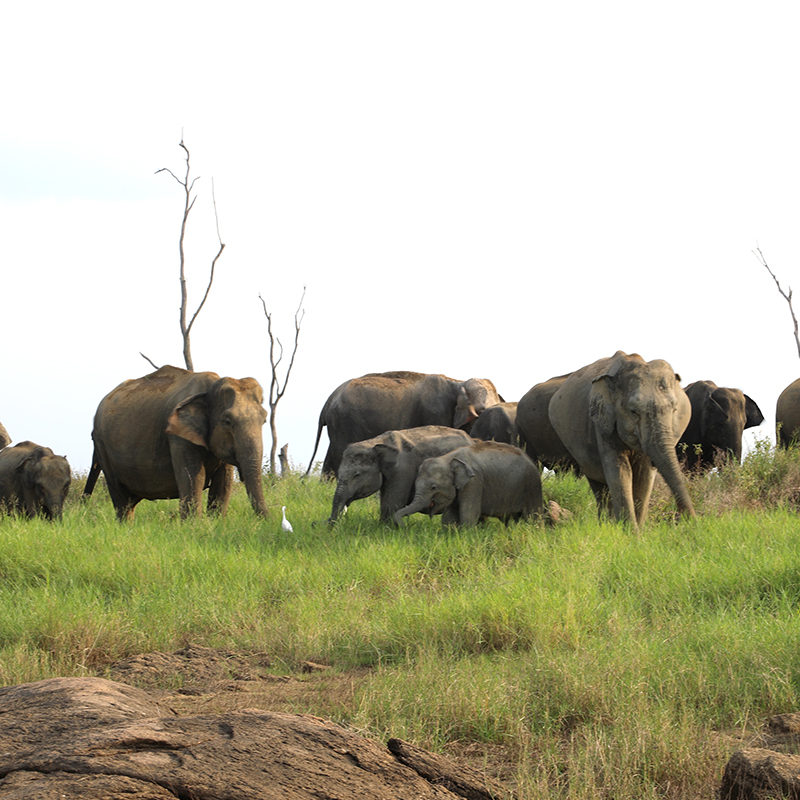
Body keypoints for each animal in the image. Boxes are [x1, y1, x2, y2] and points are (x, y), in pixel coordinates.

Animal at [83, 365, 269, 521]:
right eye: (227, 421)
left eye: (264, 420)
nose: (269, 521)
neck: (210, 388)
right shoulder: (178, 437)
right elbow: (194, 476)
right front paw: (194, 527)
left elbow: (224, 481)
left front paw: (216, 524)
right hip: (103, 446)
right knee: (121, 499)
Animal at [306, 371, 504, 477]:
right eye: (481, 412)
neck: (457, 382)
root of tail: (329, 400)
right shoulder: (435, 412)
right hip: (343, 422)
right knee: (339, 451)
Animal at [327, 425, 474, 524]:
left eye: (357, 475)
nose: (327, 524)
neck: (376, 443)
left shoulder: (403, 470)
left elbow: (391, 504)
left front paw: (386, 529)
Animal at [393, 440, 543, 528]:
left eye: (433, 487)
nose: (405, 527)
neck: (448, 458)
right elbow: (449, 515)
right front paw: (450, 535)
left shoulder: (474, 482)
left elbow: (469, 511)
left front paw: (466, 536)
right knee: (512, 518)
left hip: (532, 485)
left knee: (534, 516)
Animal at [548, 351, 695, 529]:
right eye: (633, 411)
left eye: (674, 409)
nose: (687, 520)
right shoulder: (603, 425)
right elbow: (620, 471)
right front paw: (631, 533)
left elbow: (644, 474)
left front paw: (638, 532)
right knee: (598, 486)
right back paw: (606, 525)